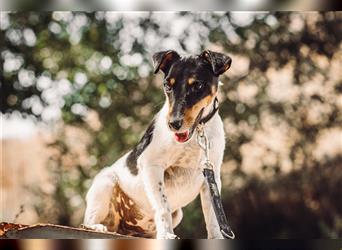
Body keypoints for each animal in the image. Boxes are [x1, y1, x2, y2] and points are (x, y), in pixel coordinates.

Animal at [83, 49, 232, 239]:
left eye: (197, 85)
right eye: (167, 85)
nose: (173, 124)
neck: (197, 133)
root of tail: (125, 229)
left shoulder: (211, 178)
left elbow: (212, 215)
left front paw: (216, 238)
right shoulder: (151, 164)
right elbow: (163, 206)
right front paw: (167, 234)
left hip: (177, 214)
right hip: (105, 184)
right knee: (88, 221)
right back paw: (96, 227)